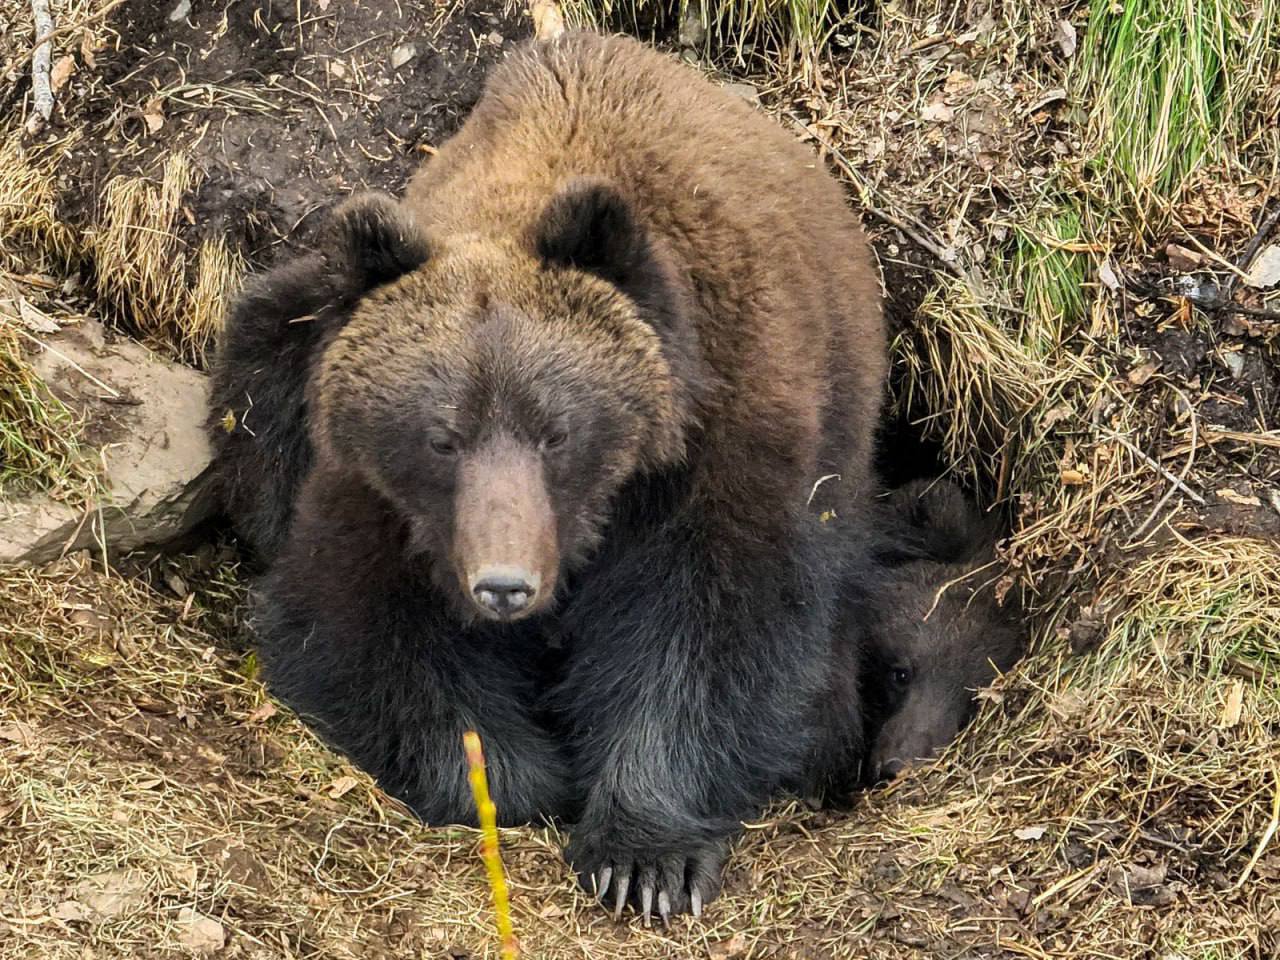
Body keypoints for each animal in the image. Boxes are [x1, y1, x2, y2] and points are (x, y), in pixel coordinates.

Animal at [212, 26, 890, 921]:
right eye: (442, 438)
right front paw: (514, 777)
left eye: (557, 432)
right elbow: (354, 626)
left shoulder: (720, 449)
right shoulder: (379, 496)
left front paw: (644, 858)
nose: (504, 585)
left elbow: (715, 628)